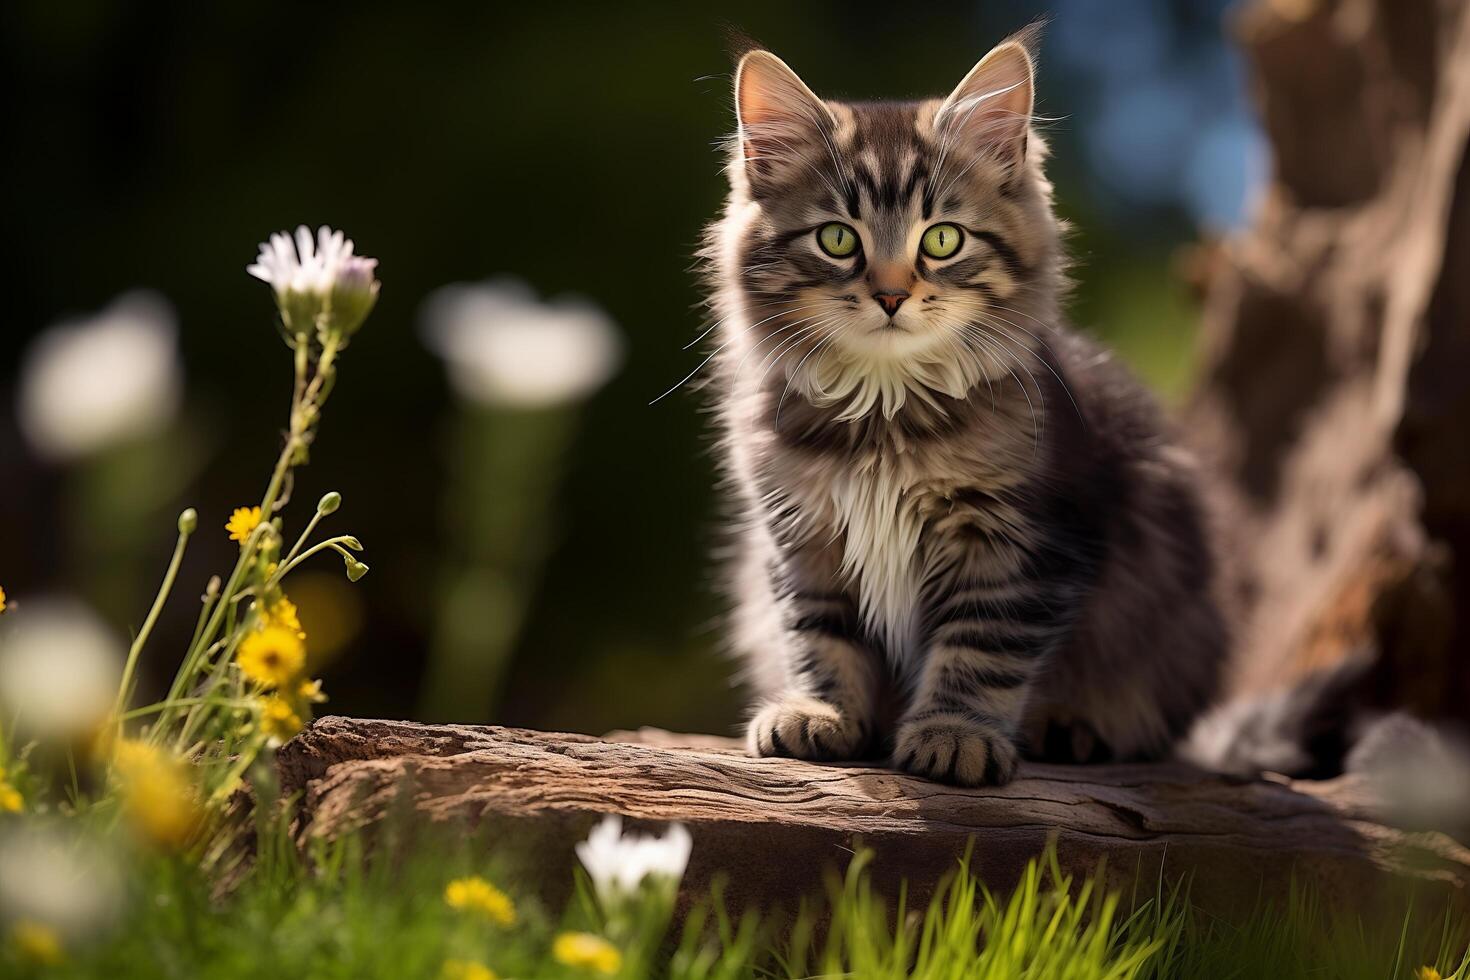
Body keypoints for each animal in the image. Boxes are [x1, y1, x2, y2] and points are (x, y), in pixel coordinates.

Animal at [699, 32, 1228, 787]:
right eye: (838, 239)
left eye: (942, 240)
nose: (891, 295)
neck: (885, 408)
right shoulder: (801, 537)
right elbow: (819, 635)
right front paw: (821, 712)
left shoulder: (1021, 540)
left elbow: (979, 647)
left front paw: (955, 735)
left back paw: (1071, 727)